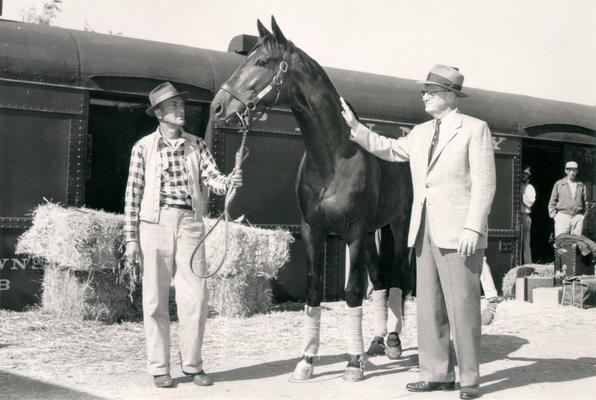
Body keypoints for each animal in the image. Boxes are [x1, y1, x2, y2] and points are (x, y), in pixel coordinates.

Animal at [212, 18, 412, 382]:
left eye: (261, 62)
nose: (217, 107)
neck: (332, 158)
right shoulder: (312, 231)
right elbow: (313, 292)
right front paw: (307, 360)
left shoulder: (354, 233)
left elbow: (351, 293)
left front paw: (353, 363)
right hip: (373, 234)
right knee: (378, 279)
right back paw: (376, 342)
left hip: (398, 225)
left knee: (397, 277)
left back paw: (392, 342)